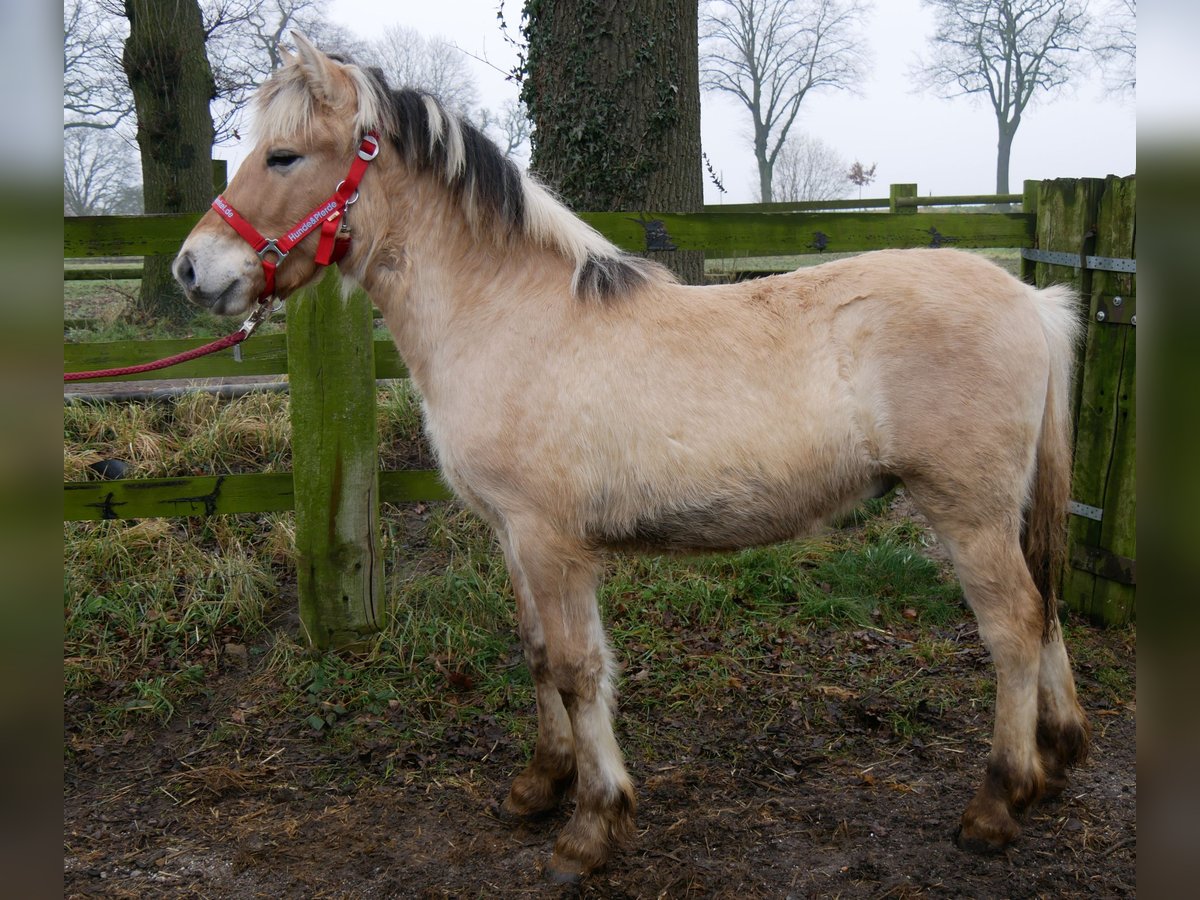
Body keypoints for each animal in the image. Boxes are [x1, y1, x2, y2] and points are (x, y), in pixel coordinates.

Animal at [175, 33, 1089, 883]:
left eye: (285, 156)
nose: (192, 268)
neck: (506, 313)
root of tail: (1032, 299)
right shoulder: (511, 536)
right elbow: (537, 655)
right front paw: (539, 785)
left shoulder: (551, 542)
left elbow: (579, 670)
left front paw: (591, 825)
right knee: (1045, 608)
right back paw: (1057, 756)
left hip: (967, 512)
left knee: (1014, 625)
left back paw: (997, 802)